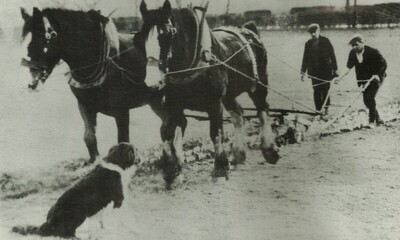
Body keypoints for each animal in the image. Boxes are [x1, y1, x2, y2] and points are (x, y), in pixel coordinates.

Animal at [12, 142, 140, 238]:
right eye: (132, 150)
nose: (139, 152)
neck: (115, 164)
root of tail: (48, 223)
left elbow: (103, 220)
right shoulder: (119, 199)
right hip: (80, 213)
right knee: (63, 233)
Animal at [19, 7, 164, 164]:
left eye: (40, 41)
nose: (31, 83)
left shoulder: (122, 110)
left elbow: (123, 141)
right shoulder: (84, 105)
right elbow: (89, 137)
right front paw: (95, 162)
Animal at [139, 0, 280, 188]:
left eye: (166, 35)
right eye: (139, 37)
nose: (151, 83)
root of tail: (248, 29)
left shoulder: (214, 104)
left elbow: (216, 134)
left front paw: (220, 171)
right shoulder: (173, 105)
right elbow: (167, 133)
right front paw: (173, 174)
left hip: (259, 83)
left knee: (262, 109)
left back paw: (269, 150)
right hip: (229, 95)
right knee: (238, 113)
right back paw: (238, 156)